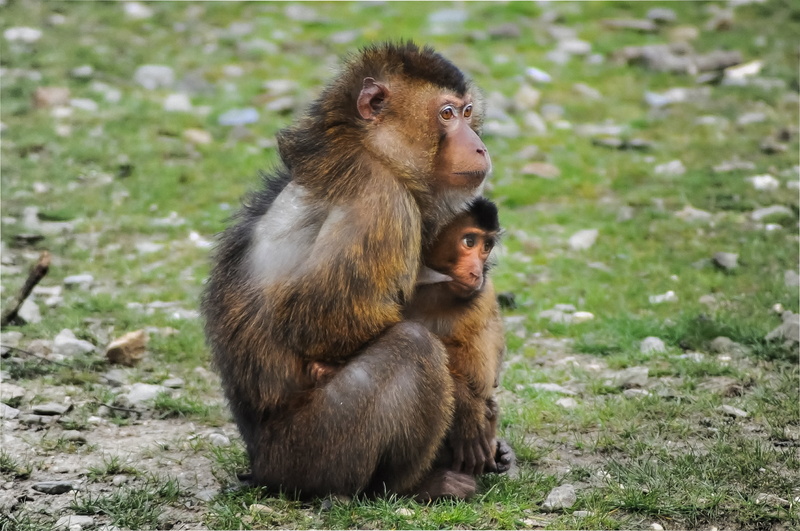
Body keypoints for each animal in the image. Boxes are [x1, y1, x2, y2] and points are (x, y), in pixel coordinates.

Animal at [201, 42, 492, 501]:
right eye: (446, 114)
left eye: (466, 112)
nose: (479, 146)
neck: (371, 150)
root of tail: (260, 464)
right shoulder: (381, 202)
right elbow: (321, 322)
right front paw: (467, 405)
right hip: (312, 450)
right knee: (413, 345)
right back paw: (413, 484)